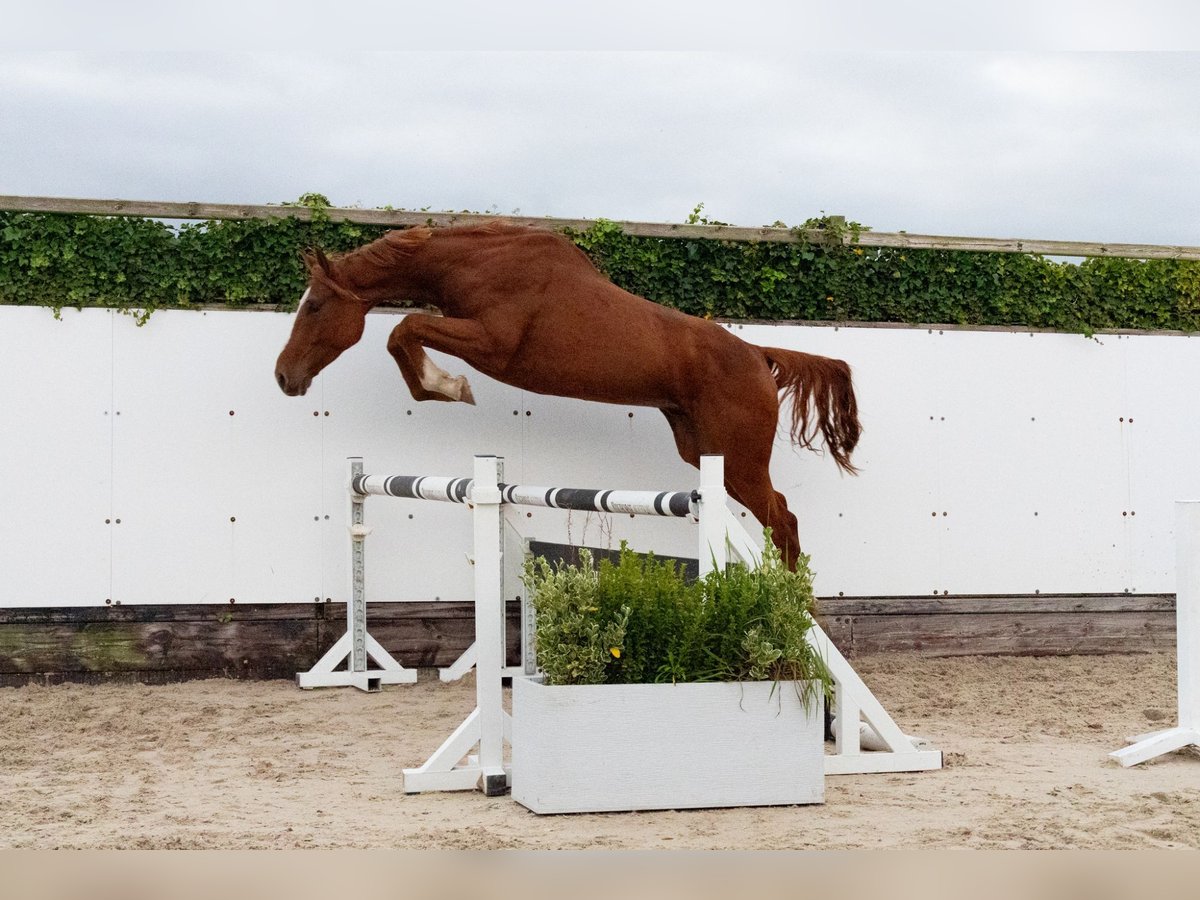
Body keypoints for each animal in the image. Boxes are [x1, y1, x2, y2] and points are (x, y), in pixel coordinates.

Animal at [274, 222, 861, 570]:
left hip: (736, 459)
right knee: (778, 515)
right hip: (703, 452)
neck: (477, 262)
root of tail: (759, 354)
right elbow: (405, 334)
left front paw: (450, 387)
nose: (284, 376)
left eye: (315, 307)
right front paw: (442, 386)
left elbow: (405, 330)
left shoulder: (492, 344)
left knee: (782, 518)